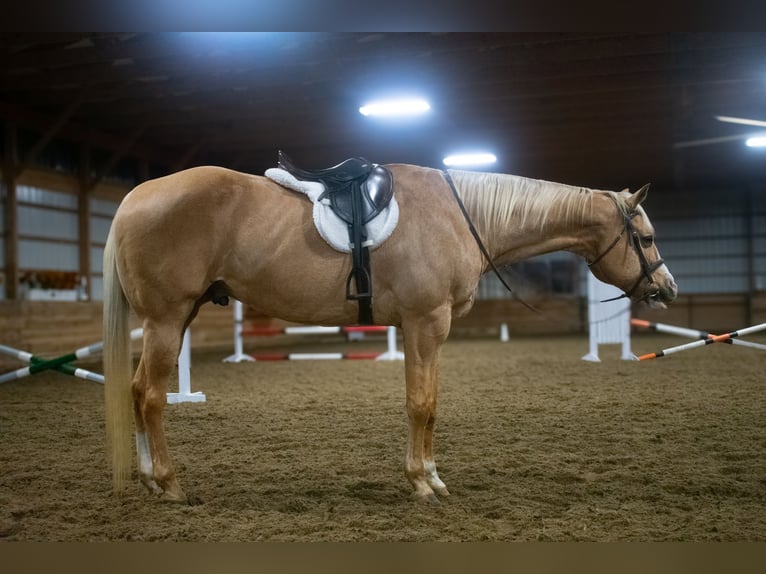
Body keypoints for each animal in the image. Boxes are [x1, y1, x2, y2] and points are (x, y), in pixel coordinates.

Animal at [102, 163, 680, 504]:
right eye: (648, 237)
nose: (668, 289)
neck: (461, 216)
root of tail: (135, 197)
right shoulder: (425, 324)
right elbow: (419, 404)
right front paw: (421, 482)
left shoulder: (429, 329)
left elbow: (431, 403)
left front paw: (433, 476)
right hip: (166, 320)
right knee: (150, 396)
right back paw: (170, 484)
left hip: (175, 320)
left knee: (135, 391)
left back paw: (149, 478)